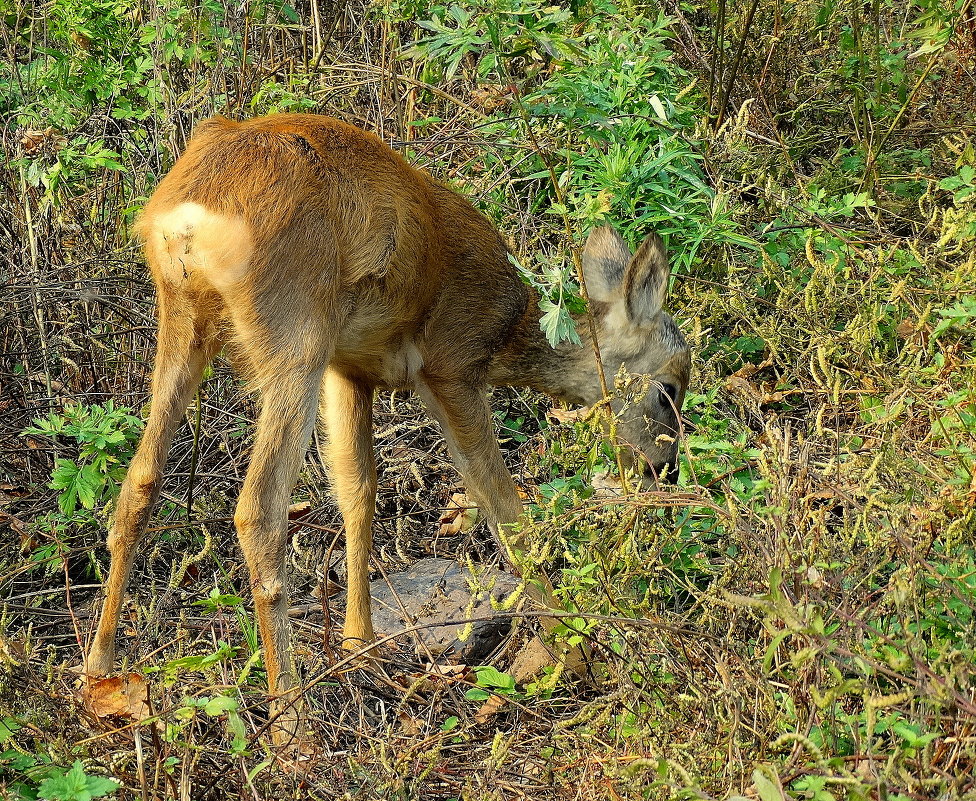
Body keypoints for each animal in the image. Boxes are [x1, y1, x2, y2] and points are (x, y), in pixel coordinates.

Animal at [86, 111, 692, 736]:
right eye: (669, 387)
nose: (665, 468)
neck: (509, 332)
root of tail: (190, 213)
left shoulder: (350, 367)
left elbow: (358, 490)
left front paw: (360, 642)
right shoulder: (451, 365)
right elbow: (499, 499)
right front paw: (575, 650)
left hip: (188, 320)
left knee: (139, 481)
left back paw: (99, 672)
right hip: (294, 334)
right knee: (258, 509)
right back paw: (290, 718)